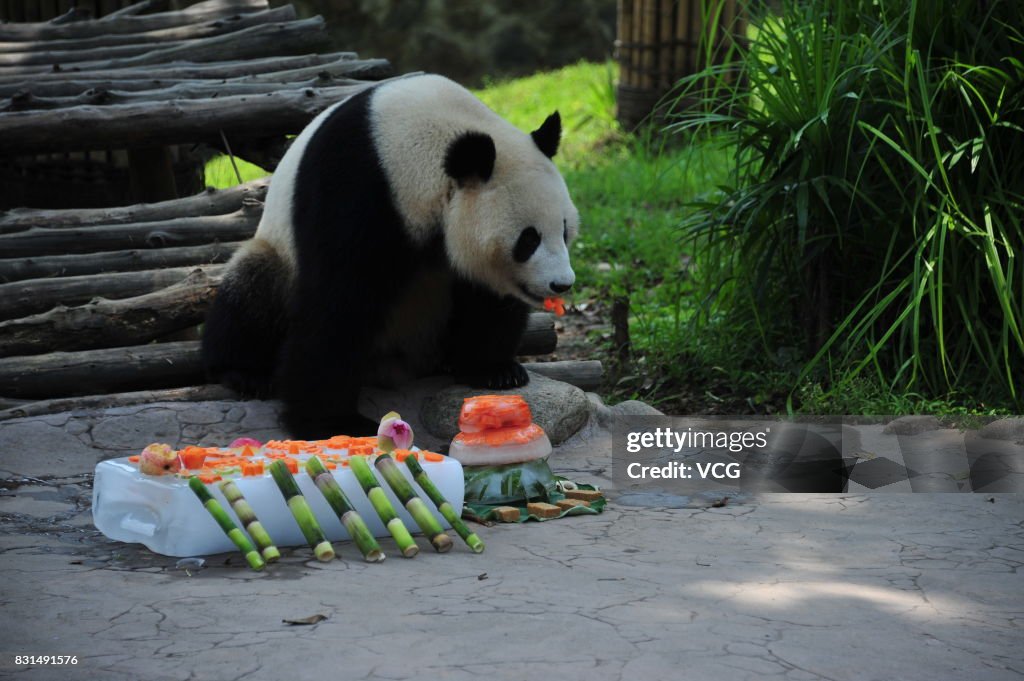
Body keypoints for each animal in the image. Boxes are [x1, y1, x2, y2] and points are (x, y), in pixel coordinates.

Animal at [203, 74, 581, 436]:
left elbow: (484, 298)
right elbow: (340, 303)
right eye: (528, 239)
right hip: (277, 254)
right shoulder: (355, 187)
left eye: (564, 230)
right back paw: (245, 373)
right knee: (250, 292)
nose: (561, 284)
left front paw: (494, 370)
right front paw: (332, 422)